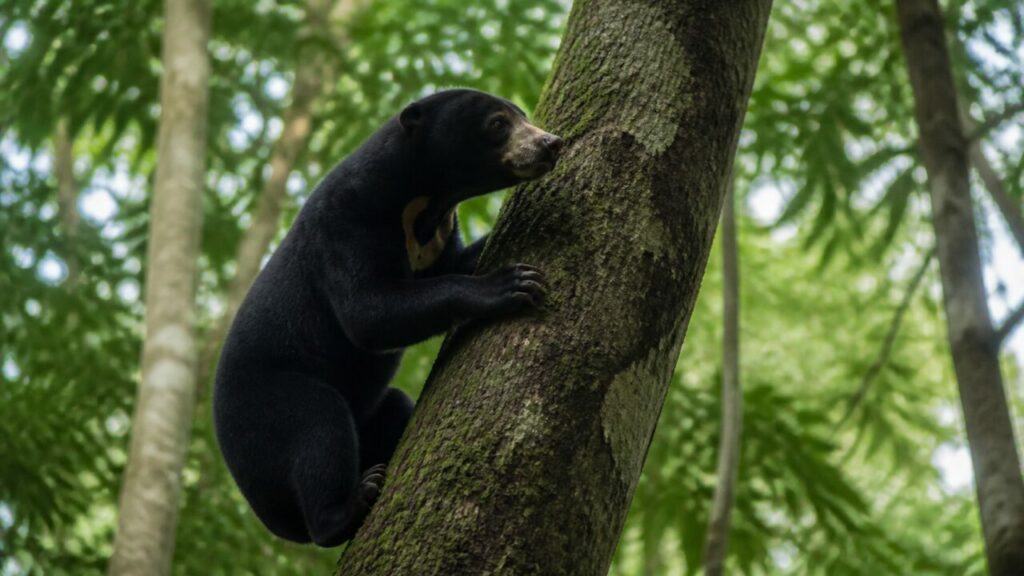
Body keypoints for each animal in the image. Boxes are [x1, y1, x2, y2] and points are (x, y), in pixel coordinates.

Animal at [213, 88, 564, 547]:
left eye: (523, 117)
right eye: (497, 123)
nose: (551, 143)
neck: (423, 203)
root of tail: (266, 510)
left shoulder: (437, 238)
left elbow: (454, 266)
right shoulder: (346, 221)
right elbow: (369, 313)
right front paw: (511, 283)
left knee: (393, 404)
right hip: (268, 403)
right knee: (318, 425)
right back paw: (350, 504)